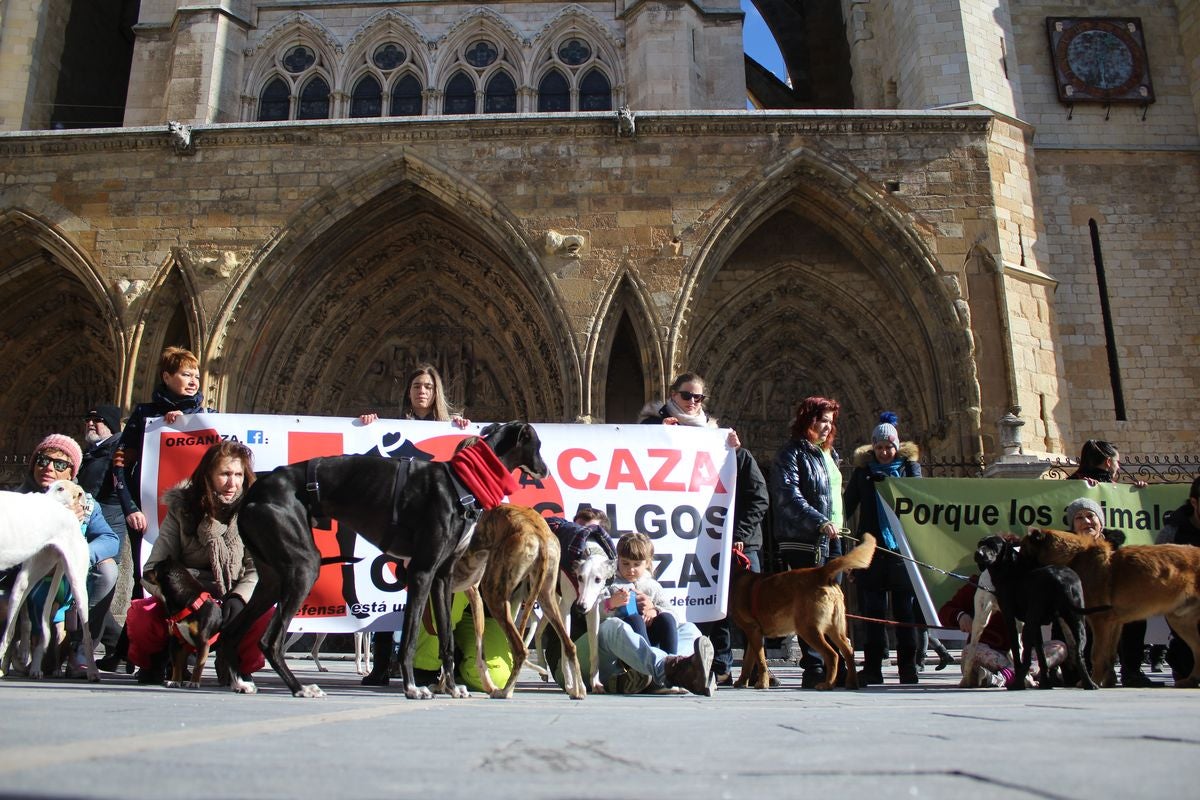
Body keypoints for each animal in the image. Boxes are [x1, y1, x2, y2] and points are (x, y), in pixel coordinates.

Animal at [451, 506, 585, 700]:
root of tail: (540, 534)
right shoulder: (470, 593)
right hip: (546, 597)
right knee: (570, 645)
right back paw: (578, 690)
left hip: (494, 595)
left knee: (520, 649)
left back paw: (505, 691)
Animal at [724, 534, 878, 690]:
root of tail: (820, 572)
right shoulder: (754, 633)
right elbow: (748, 661)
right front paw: (742, 681)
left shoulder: (753, 630)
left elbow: (760, 660)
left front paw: (762, 683)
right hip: (835, 627)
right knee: (848, 651)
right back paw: (851, 682)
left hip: (807, 628)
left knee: (832, 655)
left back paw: (827, 684)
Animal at [1022, 525, 1200, 690]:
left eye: (1022, 550)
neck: (1074, 557)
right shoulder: (1114, 624)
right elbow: (1109, 656)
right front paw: (1108, 681)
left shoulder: (1100, 622)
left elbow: (1097, 655)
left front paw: (1093, 681)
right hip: (1180, 621)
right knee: (1197, 651)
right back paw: (1191, 680)